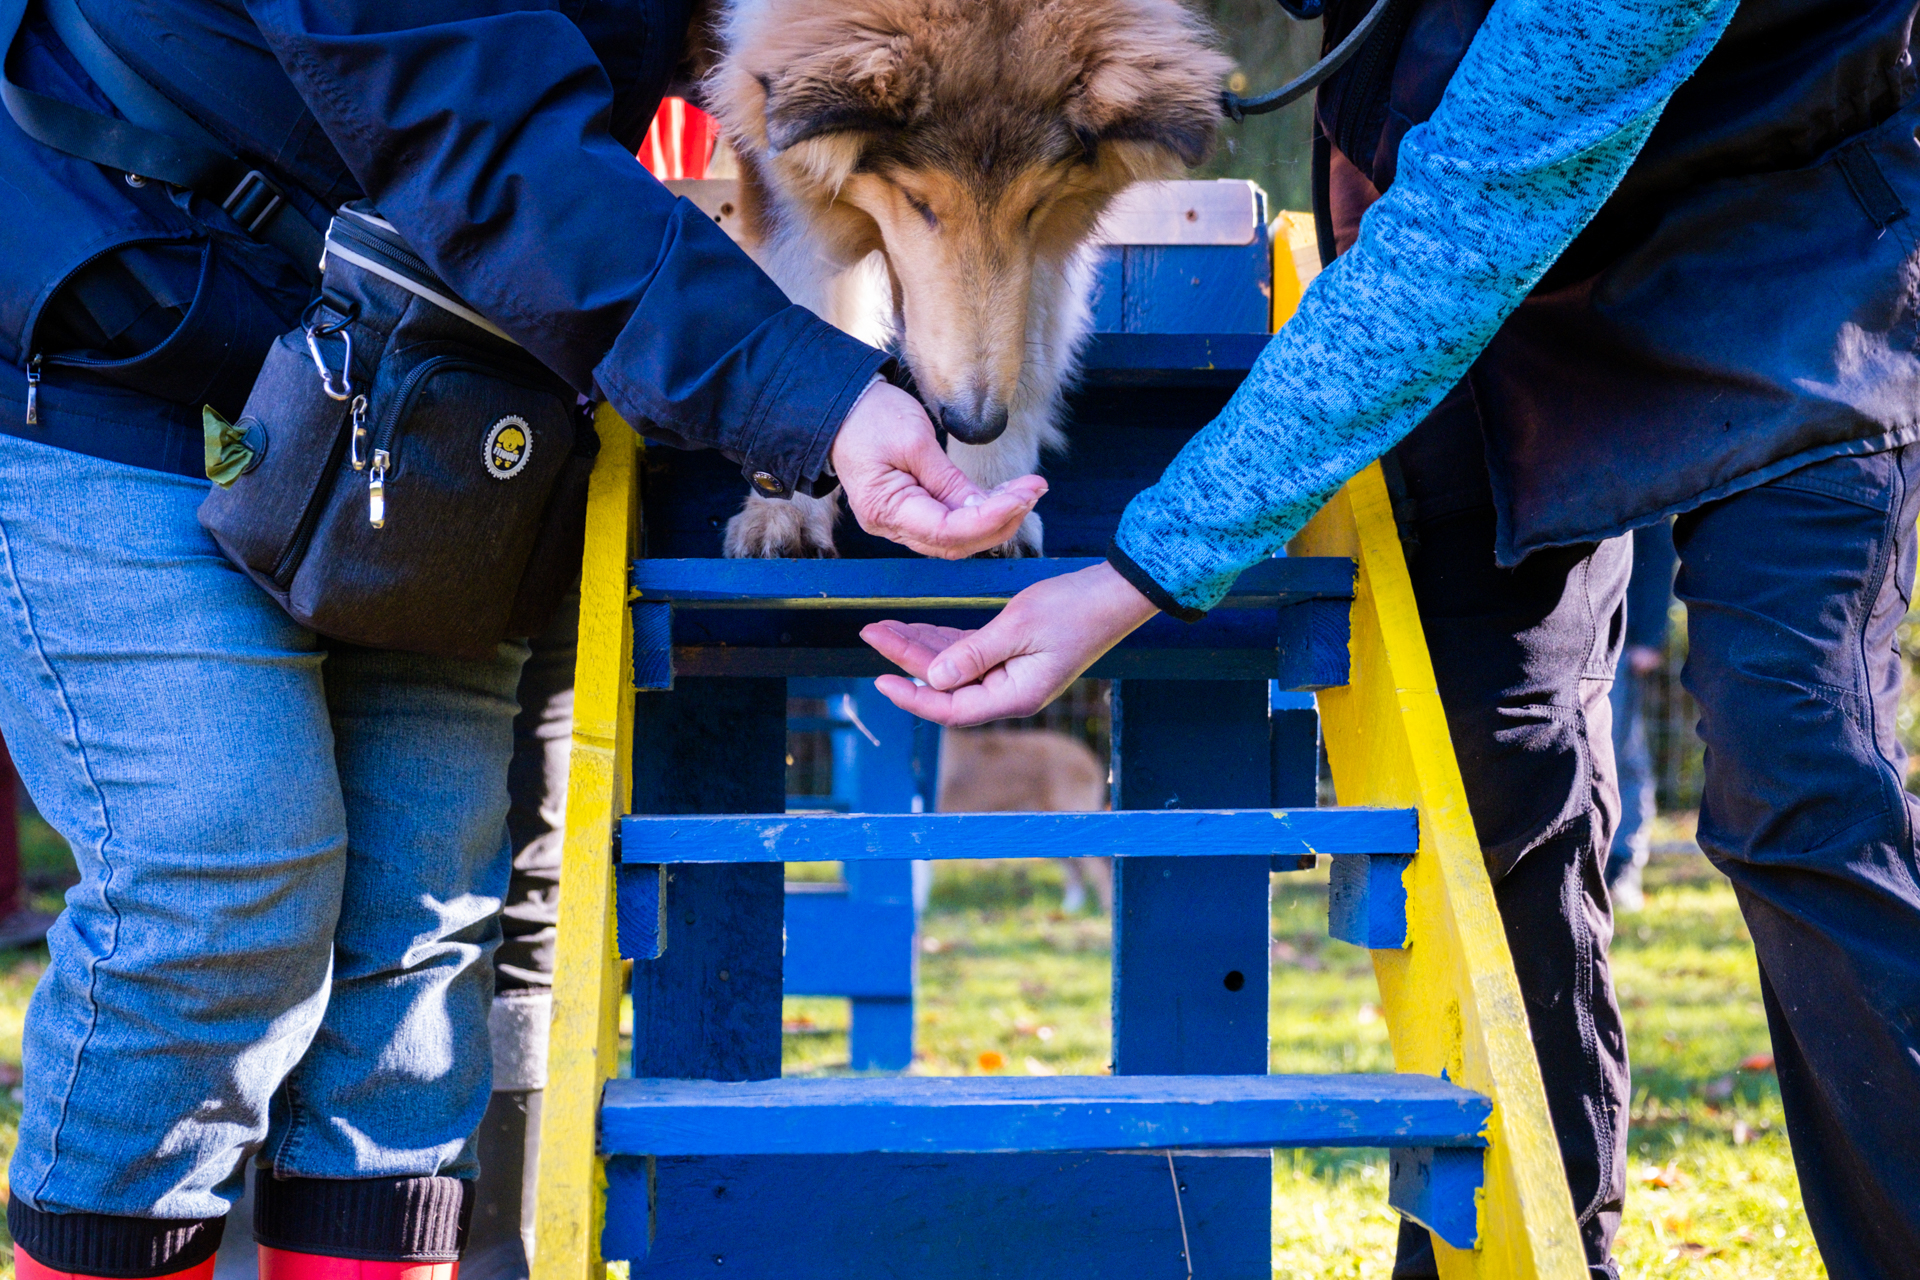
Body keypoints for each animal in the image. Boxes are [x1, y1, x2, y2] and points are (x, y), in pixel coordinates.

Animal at [702, 1, 1228, 560]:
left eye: (1034, 207)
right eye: (918, 202)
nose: (975, 426)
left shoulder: (1045, 243)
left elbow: (1029, 339)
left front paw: (992, 493)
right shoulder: (781, 190)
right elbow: (801, 315)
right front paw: (785, 516)